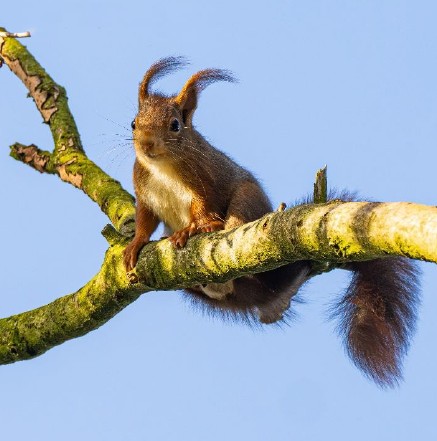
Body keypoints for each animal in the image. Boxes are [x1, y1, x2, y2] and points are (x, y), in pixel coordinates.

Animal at [122, 56, 418, 386]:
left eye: (175, 125)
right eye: (133, 123)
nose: (146, 145)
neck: (162, 167)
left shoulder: (204, 180)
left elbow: (204, 208)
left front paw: (197, 227)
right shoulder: (144, 191)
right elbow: (145, 220)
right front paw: (136, 244)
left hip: (247, 197)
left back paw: (218, 230)